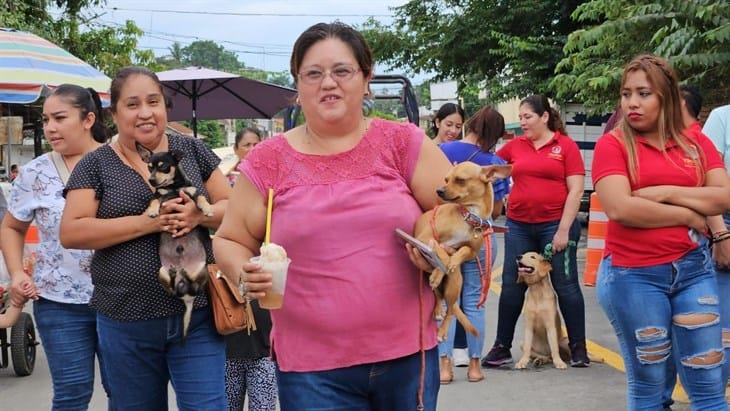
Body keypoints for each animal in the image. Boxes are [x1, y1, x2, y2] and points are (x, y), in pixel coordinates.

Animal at [412, 163, 510, 342]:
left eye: (460, 180)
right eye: (446, 179)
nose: (439, 190)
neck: (469, 216)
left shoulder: (473, 251)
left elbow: (462, 250)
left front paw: (451, 263)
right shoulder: (425, 238)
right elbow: (440, 248)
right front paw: (442, 267)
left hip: (455, 285)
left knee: (451, 309)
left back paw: (443, 329)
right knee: (438, 296)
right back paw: (438, 307)